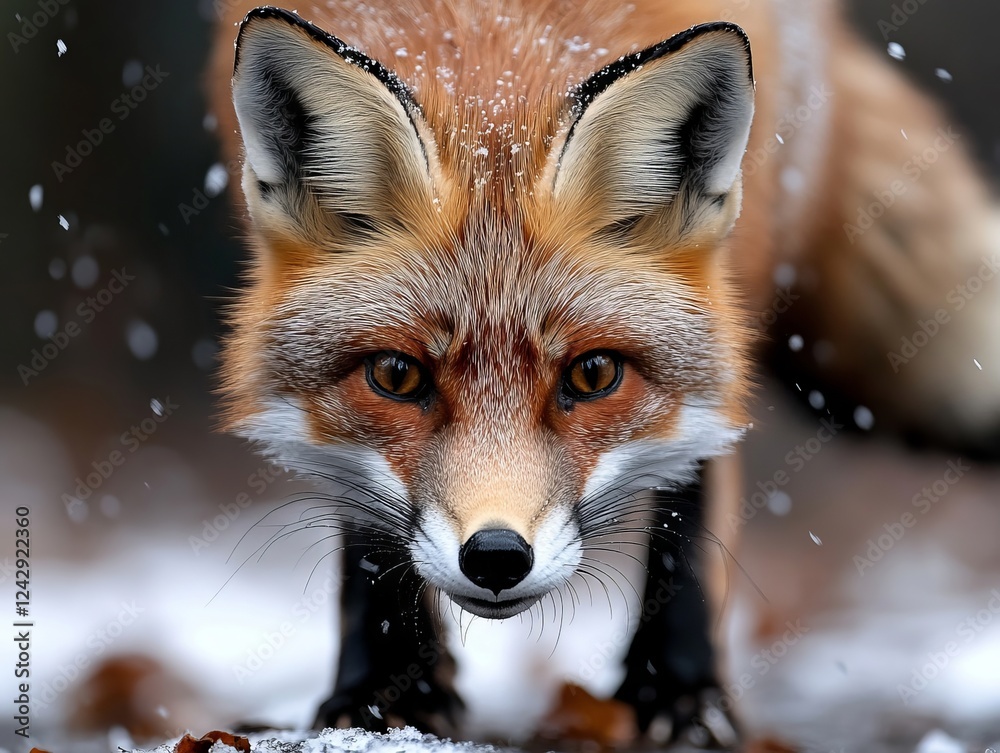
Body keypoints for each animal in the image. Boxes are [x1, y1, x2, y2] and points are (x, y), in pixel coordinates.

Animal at [208, 0, 1000, 746]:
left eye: (592, 375)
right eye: (397, 377)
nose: (496, 556)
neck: (497, 50)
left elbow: (691, 500)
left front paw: (680, 697)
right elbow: (365, 523)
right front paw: (383, 694)